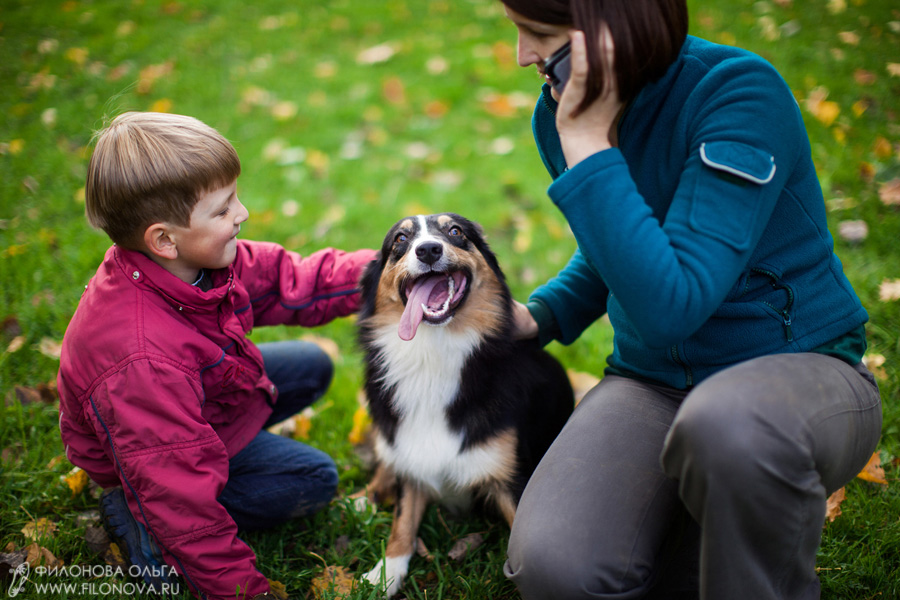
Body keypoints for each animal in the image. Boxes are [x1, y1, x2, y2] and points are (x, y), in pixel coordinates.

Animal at [356, 212, 572, 596]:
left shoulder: (511, 476)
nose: (428, 249)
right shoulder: (409, 454)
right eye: (400, 240)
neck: (432, 354)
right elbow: (402, 523)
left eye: (455, 231)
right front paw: (384, 574)